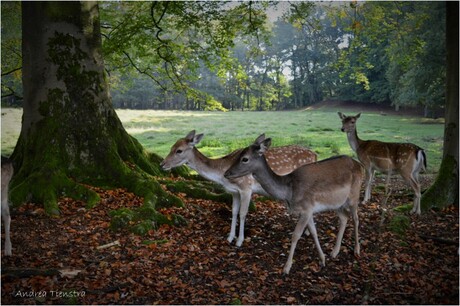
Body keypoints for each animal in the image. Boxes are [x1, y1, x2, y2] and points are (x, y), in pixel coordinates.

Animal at [160, 130, 318, 247]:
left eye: (179, 150)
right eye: (171, 147)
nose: (162, 164)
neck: (222, 173)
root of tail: (315, 154)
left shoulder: (246, 188)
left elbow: (243, 213)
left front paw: (240, 241)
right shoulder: (234, 191)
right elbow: (234, 212)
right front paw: (230, 237)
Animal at [225, 135, 364, 274]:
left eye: (244, 158)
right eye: (238, 155)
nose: (226, 173)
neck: (289, 192)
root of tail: (359, 165)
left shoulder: (306, 209)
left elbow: (295, 235)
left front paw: (286, 268)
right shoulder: (309, 210)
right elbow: (314, 232)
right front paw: (322, 259)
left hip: (354, 194)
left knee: (356, 218)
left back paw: (357, 250)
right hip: (337, 203)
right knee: (344, 217)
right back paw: (334, 252)